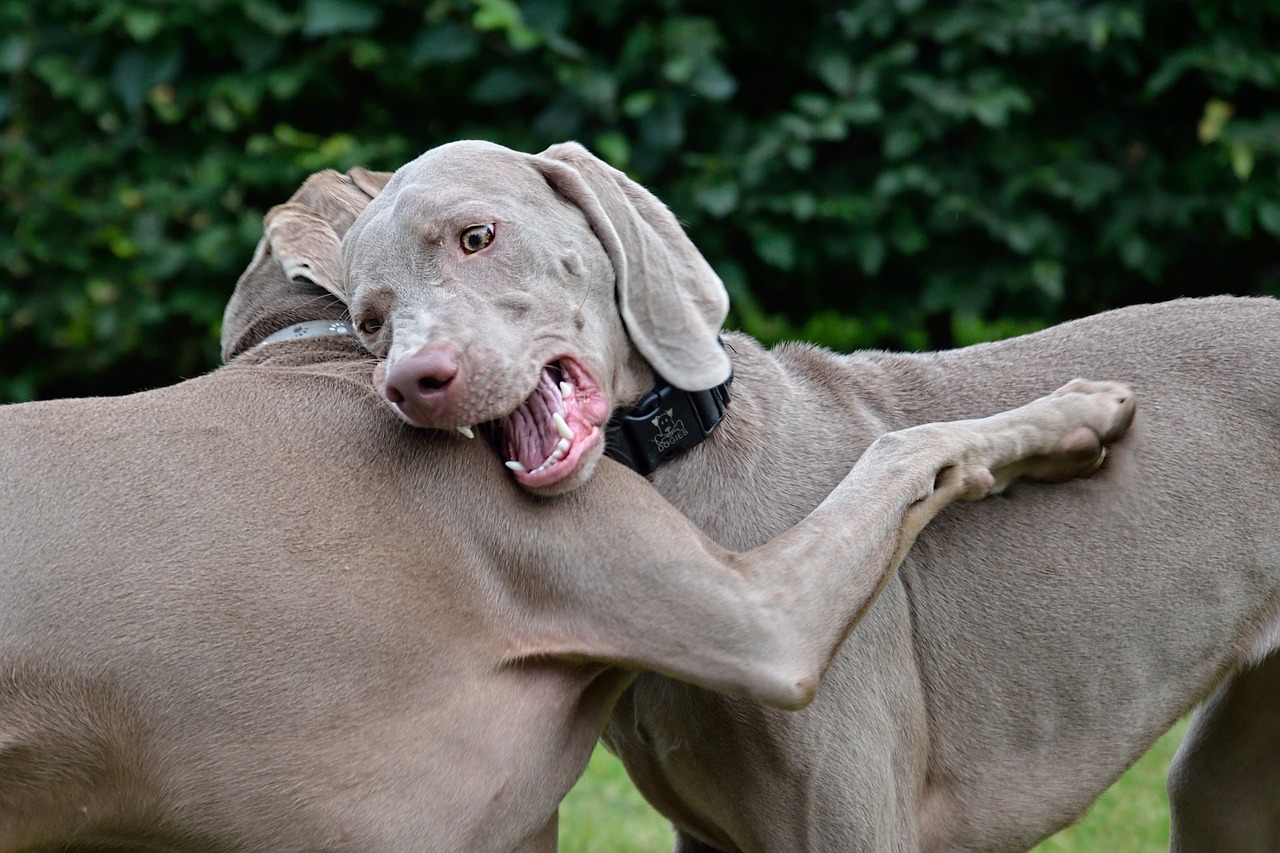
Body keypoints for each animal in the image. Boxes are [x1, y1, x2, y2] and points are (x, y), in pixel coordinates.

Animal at [345, 136, 1280, 845]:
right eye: (370, 320)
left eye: (476, 236)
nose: (414, 382)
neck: (679, 476)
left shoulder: (849, 817)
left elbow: (910, 443)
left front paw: (1076, 415)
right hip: (1221, 789)